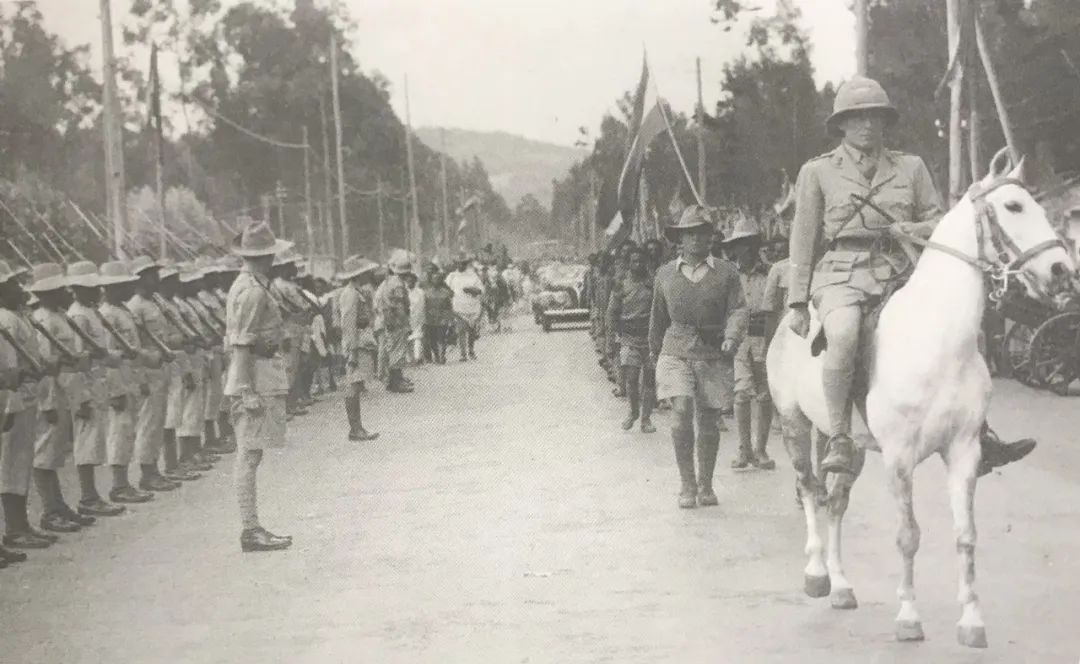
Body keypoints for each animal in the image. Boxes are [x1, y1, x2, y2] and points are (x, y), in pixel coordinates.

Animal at [766, 149, 1074, 648]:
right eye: (1013, 206)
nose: (1063, 271)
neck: (938, 338)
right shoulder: (899, 456)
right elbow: (908, 535)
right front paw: (909, 617)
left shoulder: (964, 451)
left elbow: (966, 535)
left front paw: (971, 621)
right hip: (794, 423)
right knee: (810, 489)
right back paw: (816, 573)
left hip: (849, 445)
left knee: (836, 499)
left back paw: (842, 584)